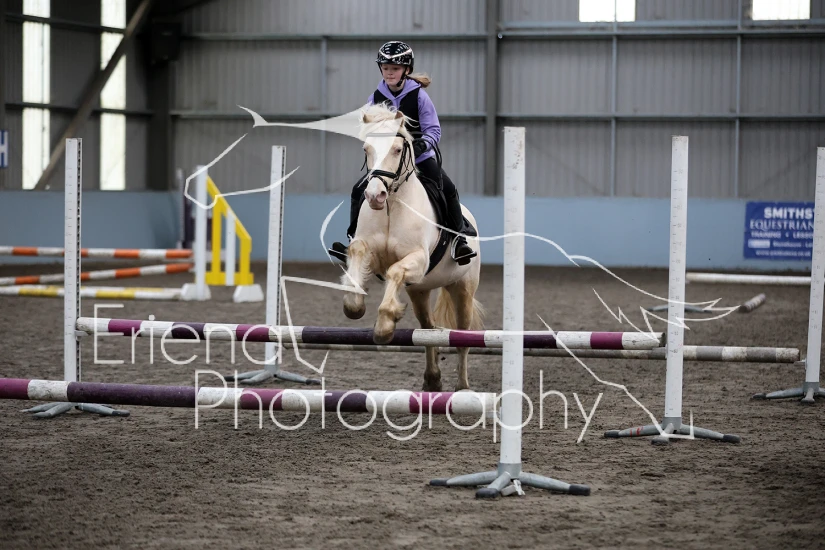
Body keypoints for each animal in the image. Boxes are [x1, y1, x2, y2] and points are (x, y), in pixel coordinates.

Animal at [340, 103, 484, 392]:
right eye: (366, 148)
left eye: (397, 149)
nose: (374, 196)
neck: (392, 205)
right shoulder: (368, 250)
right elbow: (357, 257)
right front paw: (356, 305)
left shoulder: (417, 259)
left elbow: (395, 271)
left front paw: (385, 325)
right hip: (420, 291)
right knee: (428, 329)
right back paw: (432, 378)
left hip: (463, 289)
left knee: (463, 337)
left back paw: (462, 387)